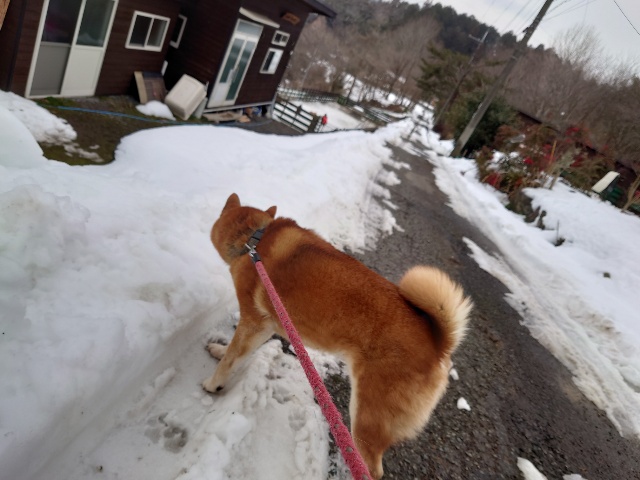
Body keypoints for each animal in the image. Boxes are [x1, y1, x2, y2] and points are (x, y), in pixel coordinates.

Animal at [203, 193, 473, 479]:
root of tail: (439, 344)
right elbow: (236, 354)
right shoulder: (265, 325)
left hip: (367, 416)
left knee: (372, 469)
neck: (254, 239)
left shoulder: (252, 321)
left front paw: (213, 383)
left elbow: (230, 360)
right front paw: (219, 351)